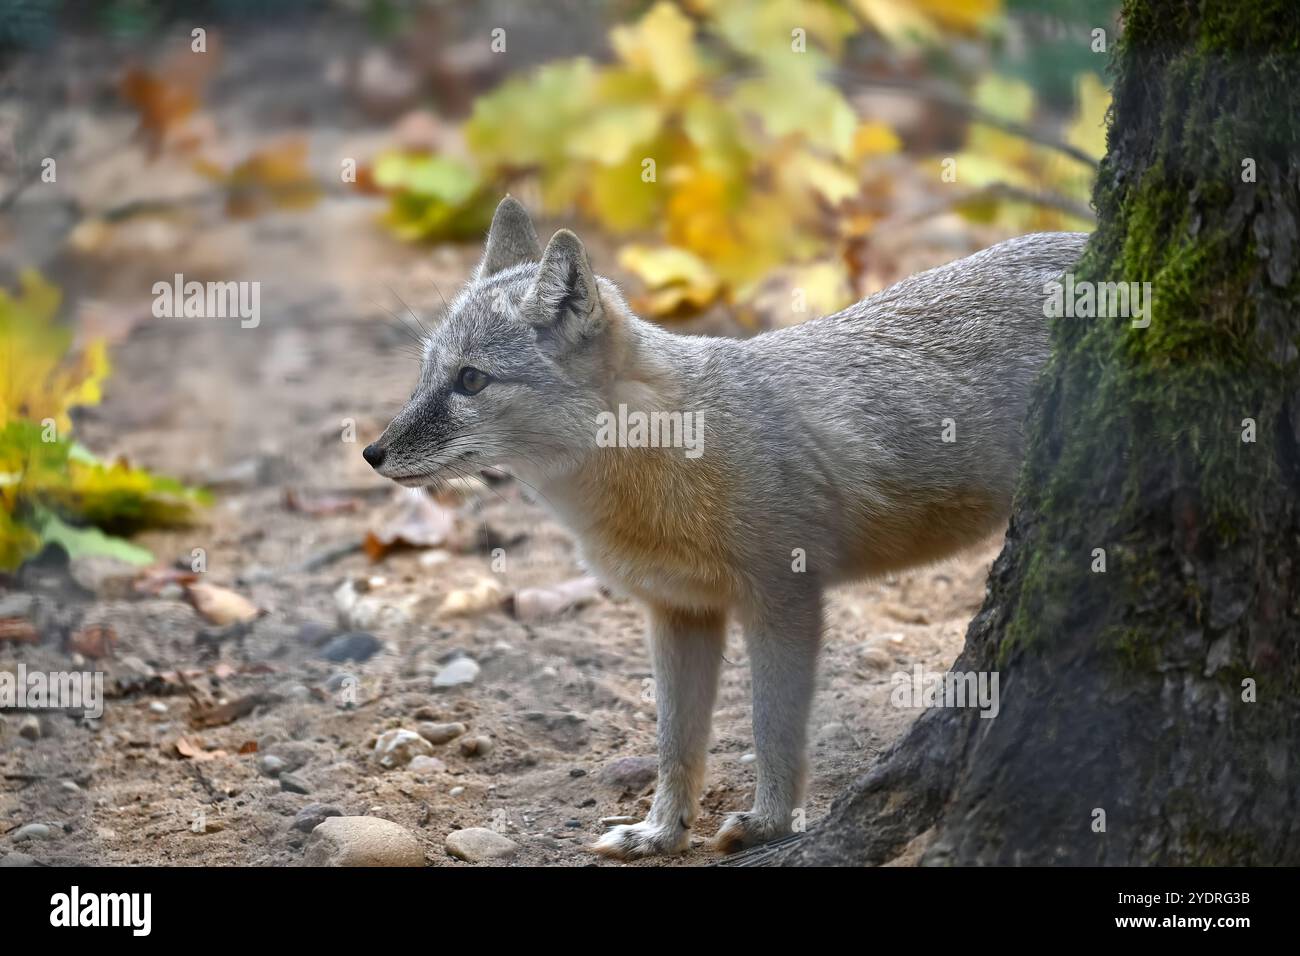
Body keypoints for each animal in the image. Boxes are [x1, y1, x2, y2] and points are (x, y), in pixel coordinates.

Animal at [366, 195, 1086, 858]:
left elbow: (773, 727)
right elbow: (675, 742)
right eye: (426, 374)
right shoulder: (679, 610)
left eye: (470, 380)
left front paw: (768, 824)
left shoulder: (785, 599)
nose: (373, 453)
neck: (672, 454)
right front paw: (660, 832)